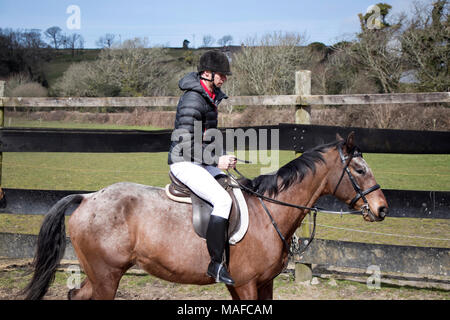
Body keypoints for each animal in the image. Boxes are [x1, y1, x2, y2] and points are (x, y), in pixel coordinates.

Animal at [22, 131, 386, 300]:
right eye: (359, 169)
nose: (382, 208)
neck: (270, 211)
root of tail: (88, 198)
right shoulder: (247, 284)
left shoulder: (262, 283)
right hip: (106, 275)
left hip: (101, 274)